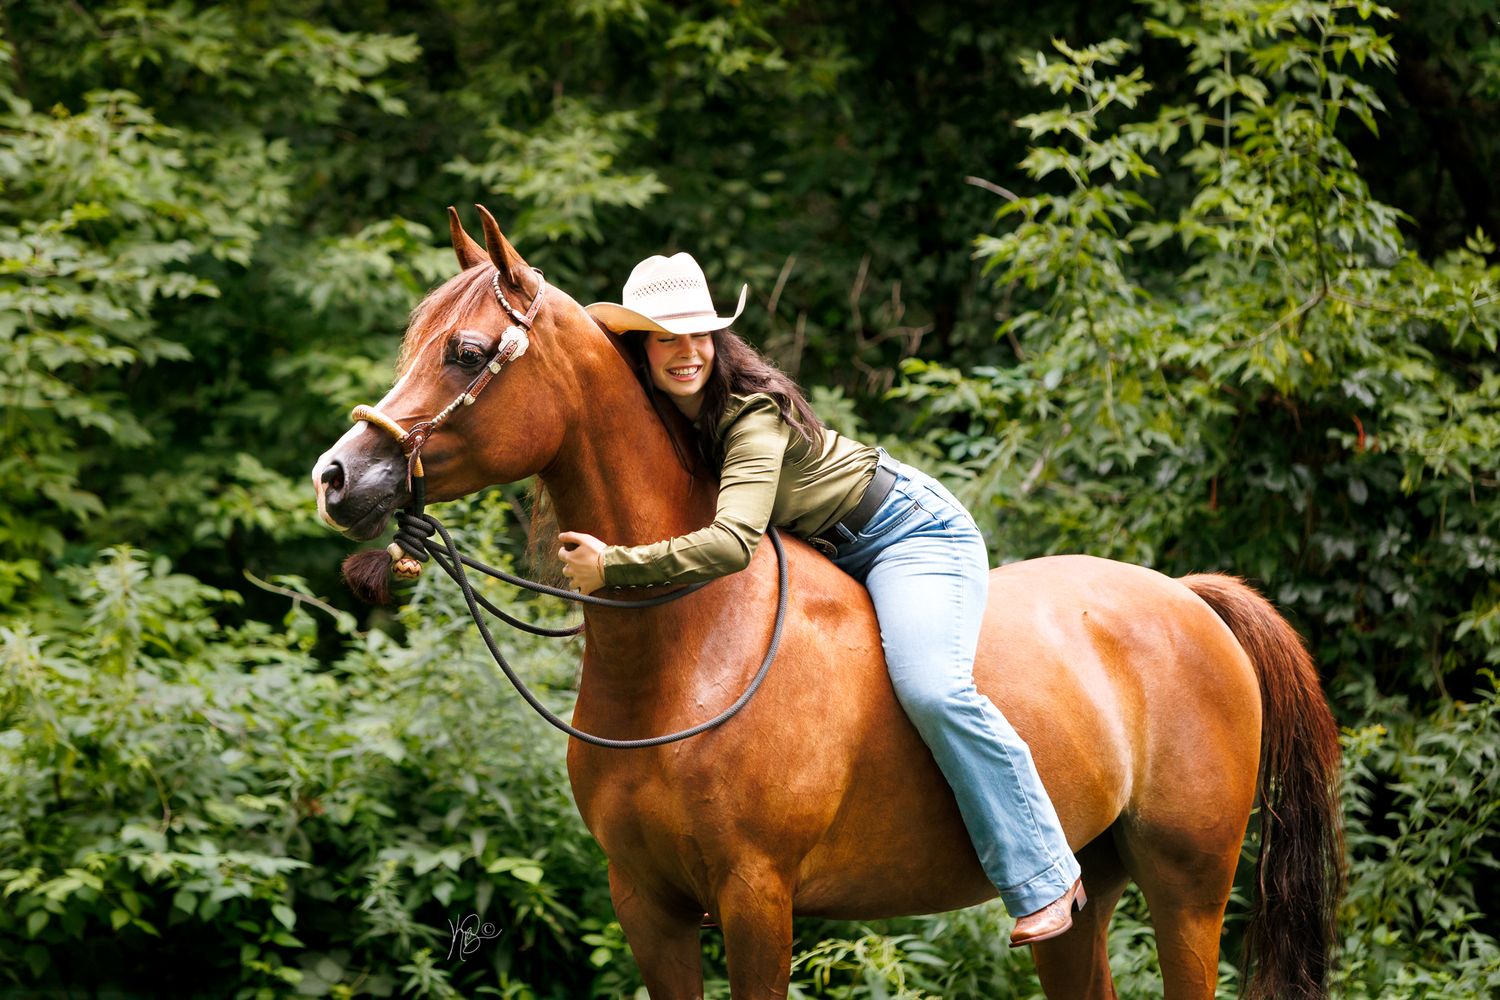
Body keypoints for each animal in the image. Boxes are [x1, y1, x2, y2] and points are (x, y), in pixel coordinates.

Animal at [311, 207, 1344, 999]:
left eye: (465, 352)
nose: (338, 476)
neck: (692, 649)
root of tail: (1190, 601)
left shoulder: (757, 898)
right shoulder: (647, 906)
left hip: (1190, 890)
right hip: (1091, 894)